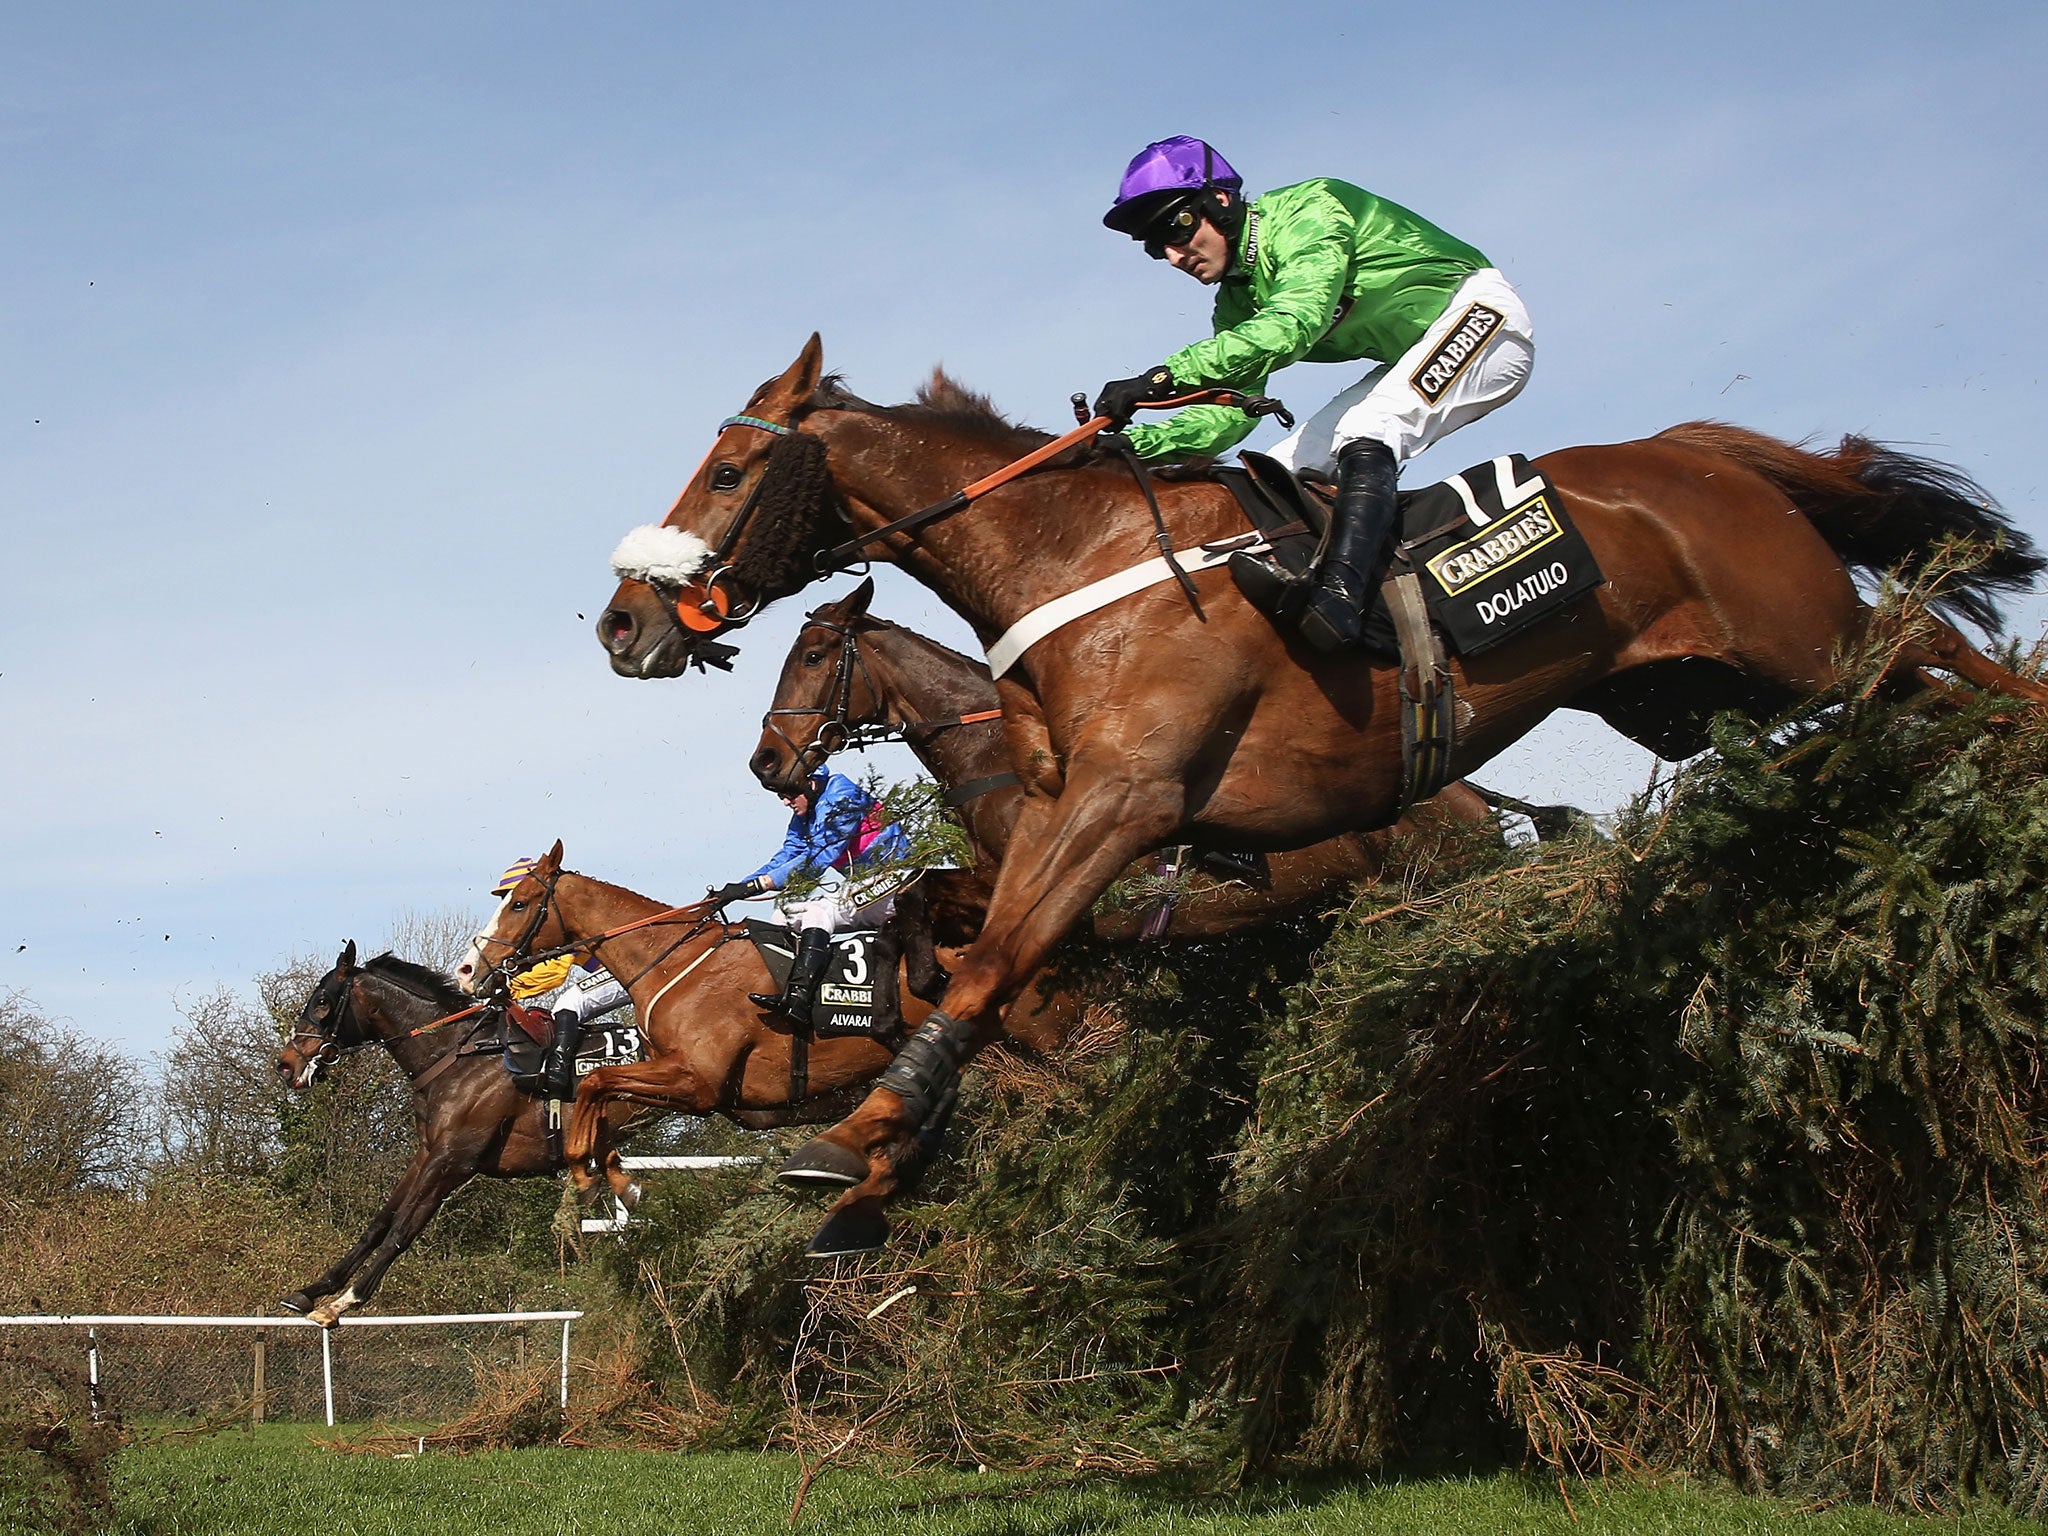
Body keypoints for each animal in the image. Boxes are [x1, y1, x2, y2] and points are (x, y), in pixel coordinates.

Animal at [593, 331, 2048, 1253]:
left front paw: (860, 1143)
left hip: (1802, 634)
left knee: (1941, 648)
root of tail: (1702, 458)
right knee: (1906, 690)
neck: (1074, 565)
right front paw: (887, 1151)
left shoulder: (1126, 809)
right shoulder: (1069, 829)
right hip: (1686, 690)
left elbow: (996, 958)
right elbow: (951, 931)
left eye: (729, 472)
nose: (621, 624)